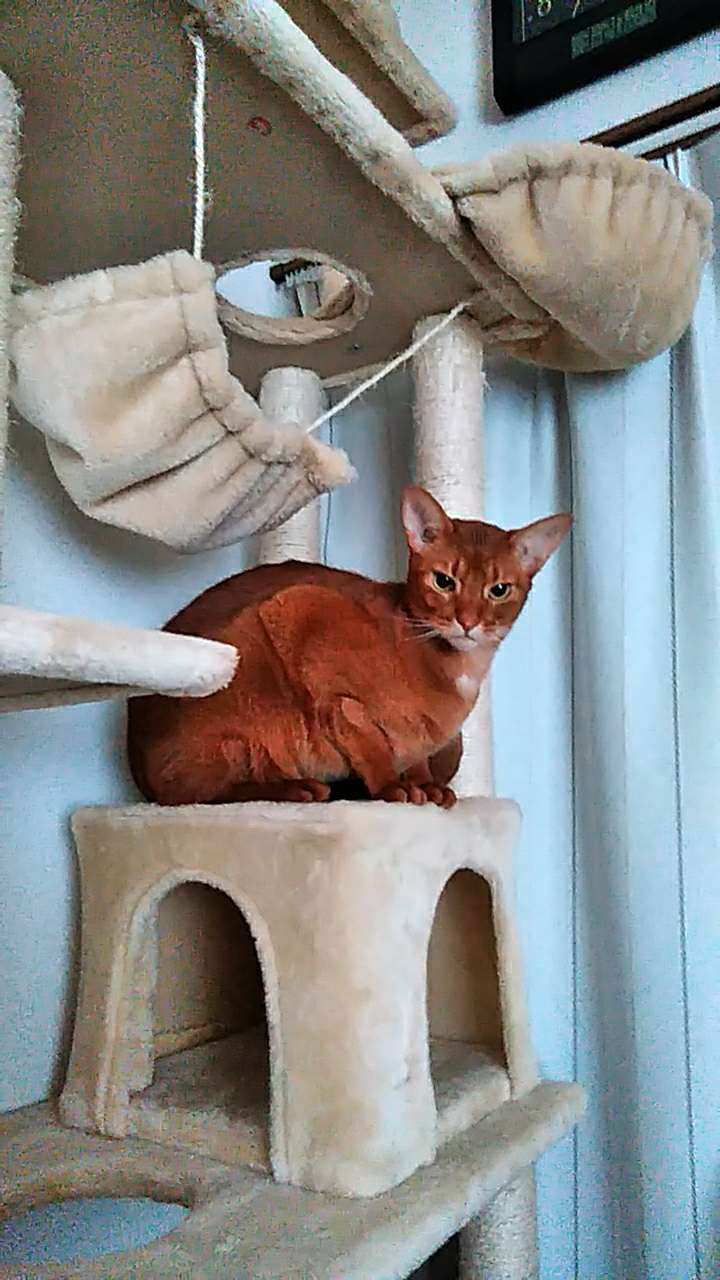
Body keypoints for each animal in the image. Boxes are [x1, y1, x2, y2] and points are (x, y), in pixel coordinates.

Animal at [127, 487, 571, 808]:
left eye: (499, 590)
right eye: (444, 581)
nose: (467, 621)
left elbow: (418, 754)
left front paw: (426, 785)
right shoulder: (303, 616)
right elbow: (370, 745)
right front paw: (394, 788)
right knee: (194, 795)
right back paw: (295, 789)